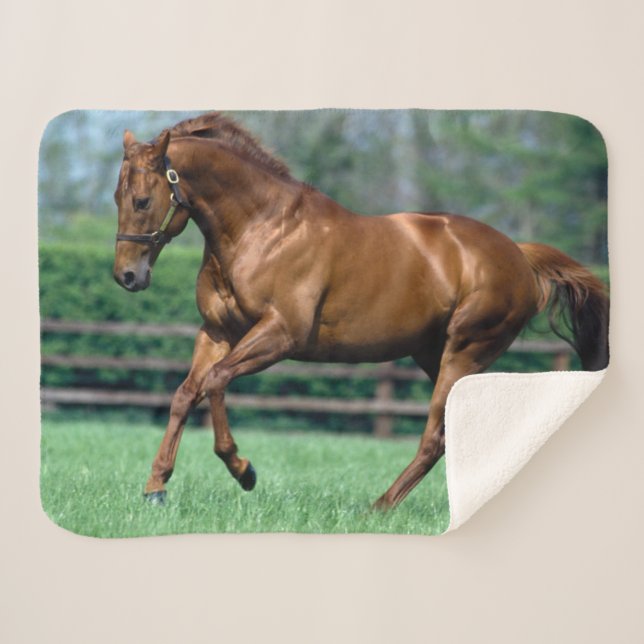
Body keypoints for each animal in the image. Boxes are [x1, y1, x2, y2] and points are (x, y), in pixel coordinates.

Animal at [112, 112, 609, 509]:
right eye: (117, 198)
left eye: (142, 200)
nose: (127, 276)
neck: (261, 229)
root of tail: (519, 256)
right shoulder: (217, 333)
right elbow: (185, 394)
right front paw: (155, 489)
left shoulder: (279, 335)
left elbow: (215, 382)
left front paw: (244, 470)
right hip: (434, 355)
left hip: (464, 353)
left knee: (434, 436)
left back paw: (380, 507)